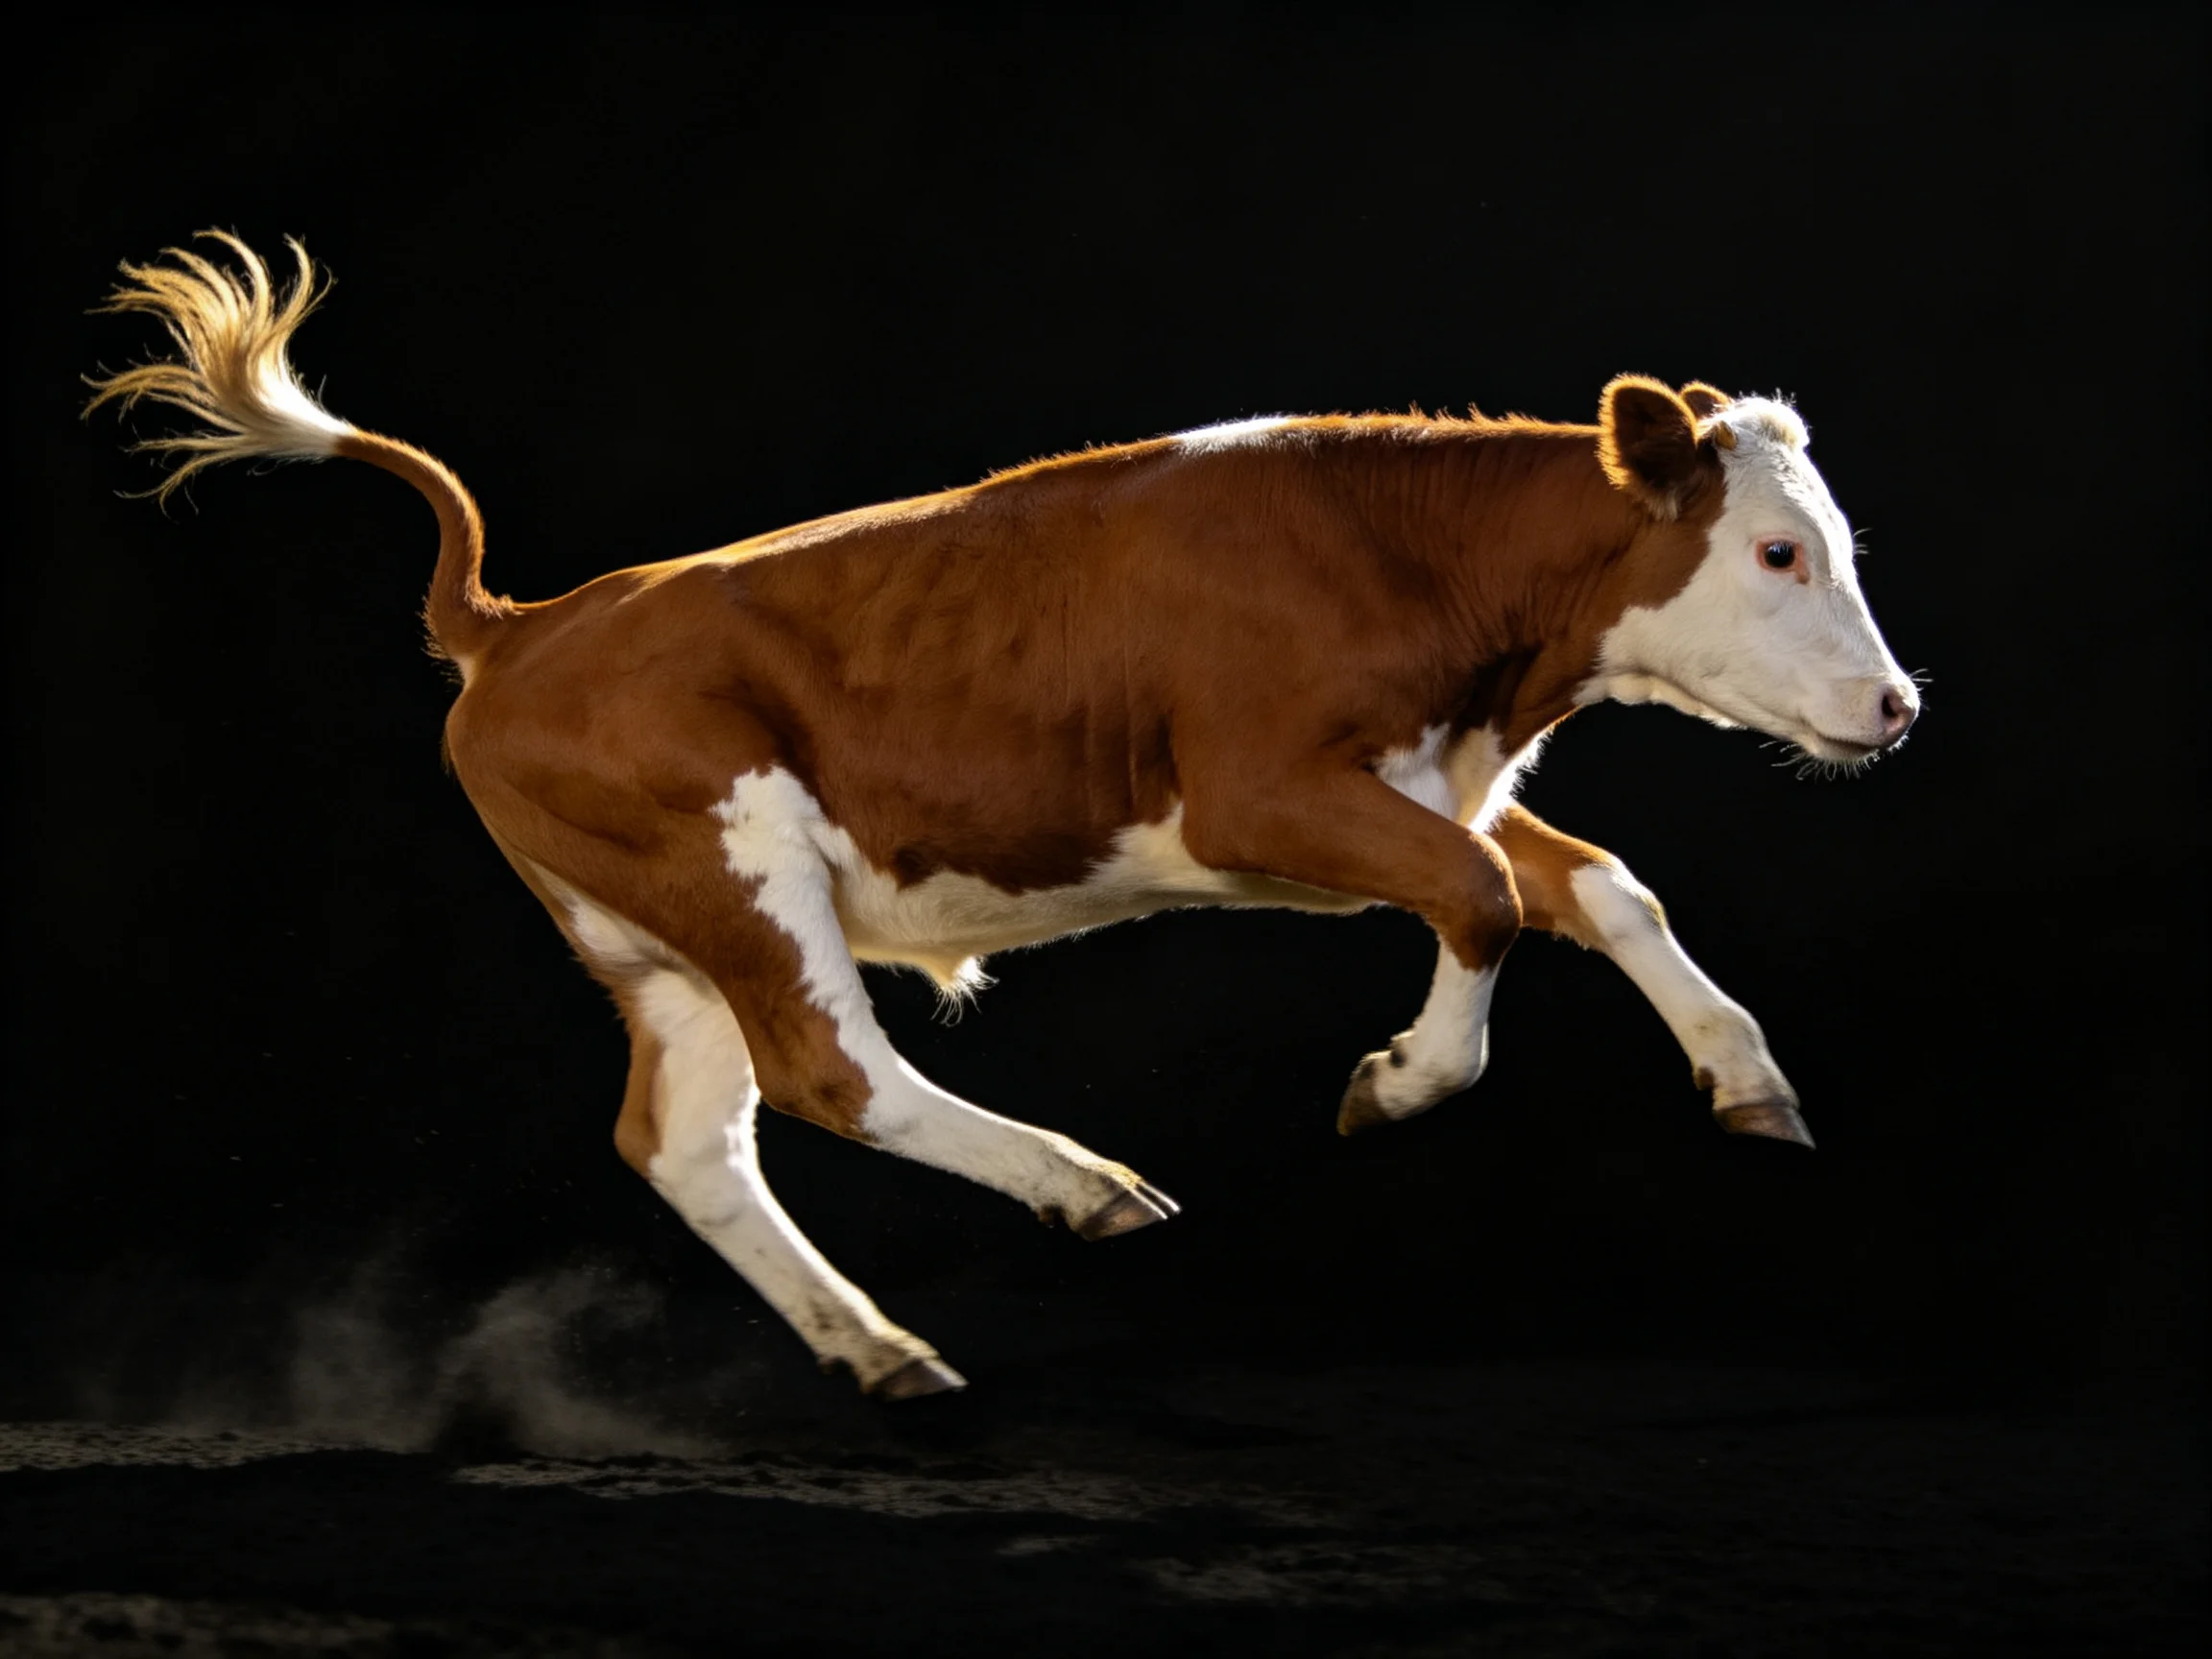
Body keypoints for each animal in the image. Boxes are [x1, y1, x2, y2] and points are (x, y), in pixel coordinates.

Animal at [88, 233, 1919, 1399]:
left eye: (1829, 540)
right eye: (1775, 550)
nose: (1898, 708)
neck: (1418, 570)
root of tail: (519, 622)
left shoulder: (1415, 777)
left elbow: (1600, 886)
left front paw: (1746, 1079)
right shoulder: (1266, 793)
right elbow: (1476, 894)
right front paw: (1398, 1081)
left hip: (658, 937)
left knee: (688, 1138)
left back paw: (882, 1351)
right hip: (735, 864)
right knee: (830, 1072)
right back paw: (1076, 1185)